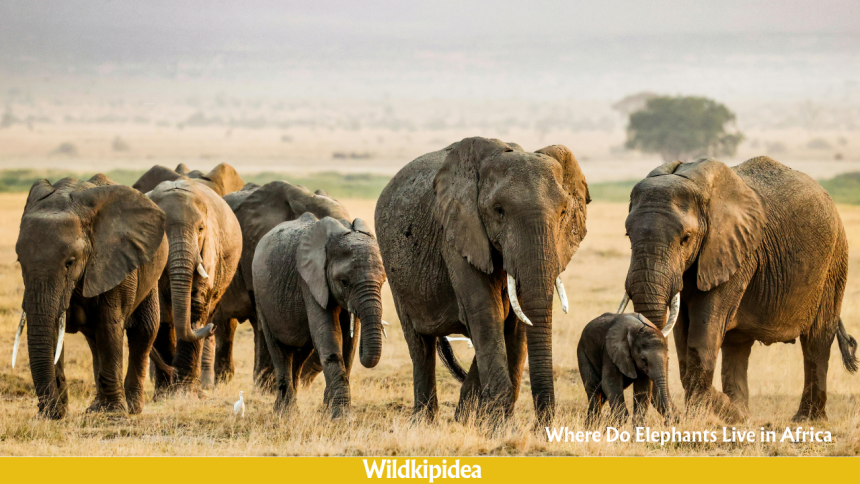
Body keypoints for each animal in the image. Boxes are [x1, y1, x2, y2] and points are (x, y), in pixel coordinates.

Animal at [14, 175, 167, 418]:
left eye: (70, 262)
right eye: (20, 261)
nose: (49, 412)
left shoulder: (113, 261)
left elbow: (109, 326)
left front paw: (114, 416)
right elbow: (55, 330)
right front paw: (55, 413)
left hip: (150, 270)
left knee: (143, 330)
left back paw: (131, 408)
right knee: (95, 340)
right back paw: (97, 408)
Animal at [146, 176, 243, 392]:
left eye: (200, 229)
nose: (212, 327)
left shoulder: (209, 247)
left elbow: (197, 303)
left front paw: (183, 390)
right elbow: (161, 310)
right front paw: (165, 392)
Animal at [252, 213, 386, 418]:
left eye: (383, 281)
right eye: (344, 282)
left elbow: (349, 343)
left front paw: (329, 411)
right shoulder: (309, 282)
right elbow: (328, 334)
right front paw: (340, 417)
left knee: (300, 355)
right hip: (261, 297)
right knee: (279, 351)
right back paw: (285, 413)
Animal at [375, 137, 590, 426]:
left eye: (564, 212)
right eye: (499, 211)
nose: (540, 427)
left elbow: (514, 322)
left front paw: (493, 423)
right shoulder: (457, 233)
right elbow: (486, 313)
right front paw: (496, 426)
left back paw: (461, 417)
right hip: (394, 269)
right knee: (420, 345)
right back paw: (423, 422)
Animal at [621, 156, 858, 422]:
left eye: (686, 238)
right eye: (628, 235)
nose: (676, 417)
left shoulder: (736, 253)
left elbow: (701, 338)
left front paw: (723, 412)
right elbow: (683, 335)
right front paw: (721, 414)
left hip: (834, 262)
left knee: (817, 340)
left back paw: (806, 419)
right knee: (737, 345)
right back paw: (743, 410)